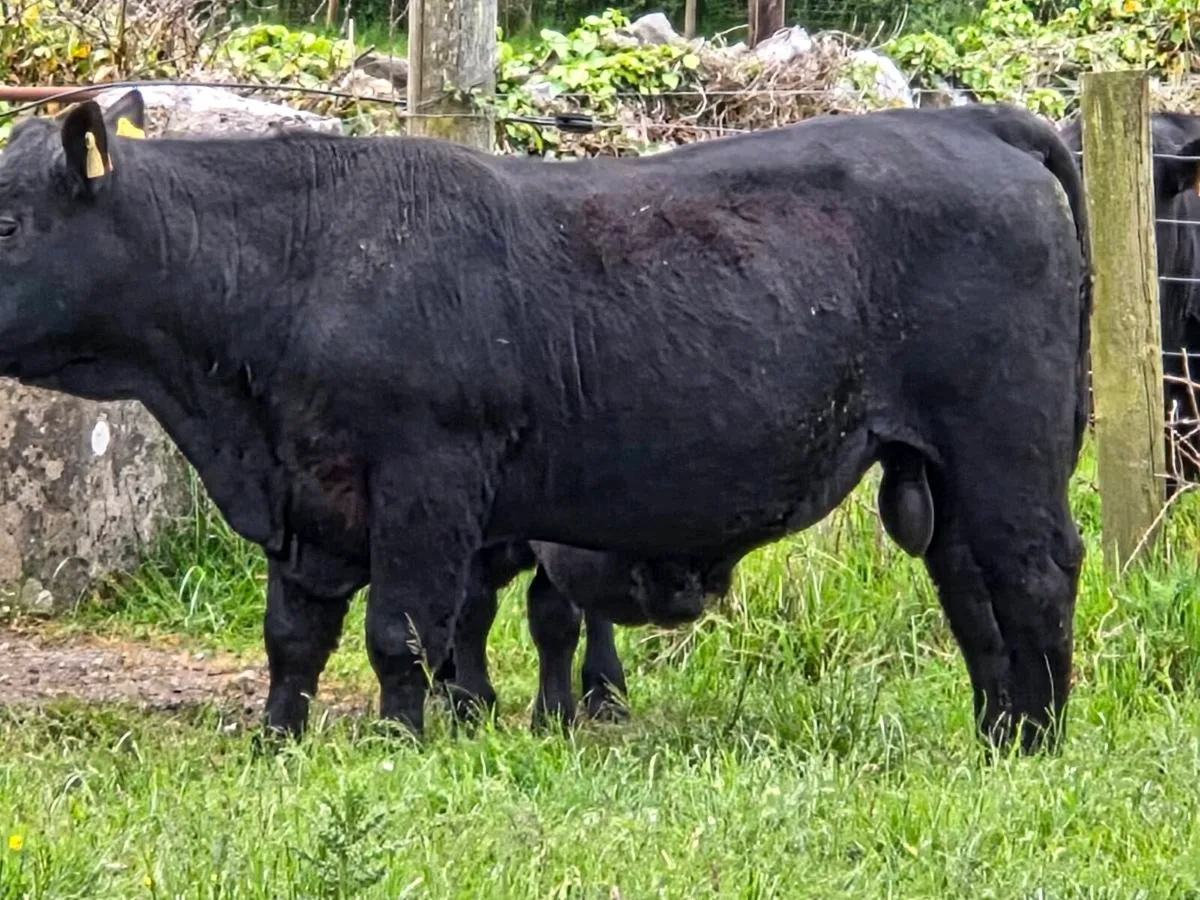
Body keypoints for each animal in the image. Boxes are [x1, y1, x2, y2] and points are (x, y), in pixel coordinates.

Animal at [0, 92, 1090, 754]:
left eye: (7, 220)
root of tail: (970, 122)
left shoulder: (429, 477)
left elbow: (405, 633)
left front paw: (401, 746)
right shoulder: (306, 495)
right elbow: (294, 637)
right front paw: (278, 743)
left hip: (1009, 449)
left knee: (1034, 574)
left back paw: (1038, 743)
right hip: (940, 470)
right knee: (971, 589)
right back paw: (997, 735)